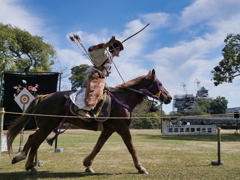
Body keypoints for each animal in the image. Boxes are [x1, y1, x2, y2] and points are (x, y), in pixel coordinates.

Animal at [7, 69, 171, 175]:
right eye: (160, 83)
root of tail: (43, 96)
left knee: (31, 138)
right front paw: (140, 168)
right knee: (35, 141)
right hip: (47, 126)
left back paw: (21, 157)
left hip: (46, 126)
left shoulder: (108, 130)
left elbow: (97, 147)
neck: (123, 99)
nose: (169, 97)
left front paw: (87, 165)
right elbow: (131, 148)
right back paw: (30, 166)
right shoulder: (122, 128)